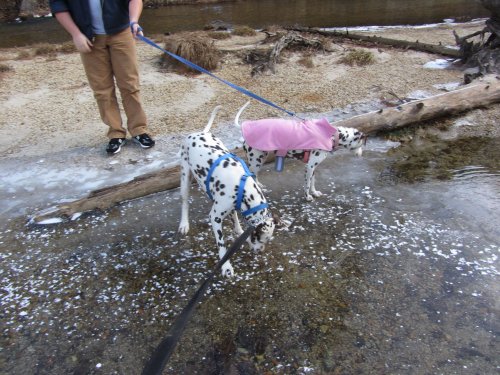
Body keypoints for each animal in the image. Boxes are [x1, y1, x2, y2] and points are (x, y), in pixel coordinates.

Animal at [178, 106, 278, 280]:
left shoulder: (232, 205)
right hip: (185, 179)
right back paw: (184, 224)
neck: (242, 186)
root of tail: (200, 132)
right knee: (184, 203)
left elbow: (236, 219)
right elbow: (222, 245)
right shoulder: (215, 217)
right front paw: (226, 267)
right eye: (261, 239)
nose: (260, 251)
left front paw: (239, 231)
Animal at [234, 103, 368, 201]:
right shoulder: (309, 167)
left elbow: (313, 182)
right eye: (361, 144)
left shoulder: (313, 167)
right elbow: (307, 184)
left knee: (255, 175)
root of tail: (244, 128)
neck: (332, 136)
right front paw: (307, 196)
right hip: (255, 160)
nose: (361, 154)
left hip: (261, 158)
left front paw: (314, 193)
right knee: (252, 175)